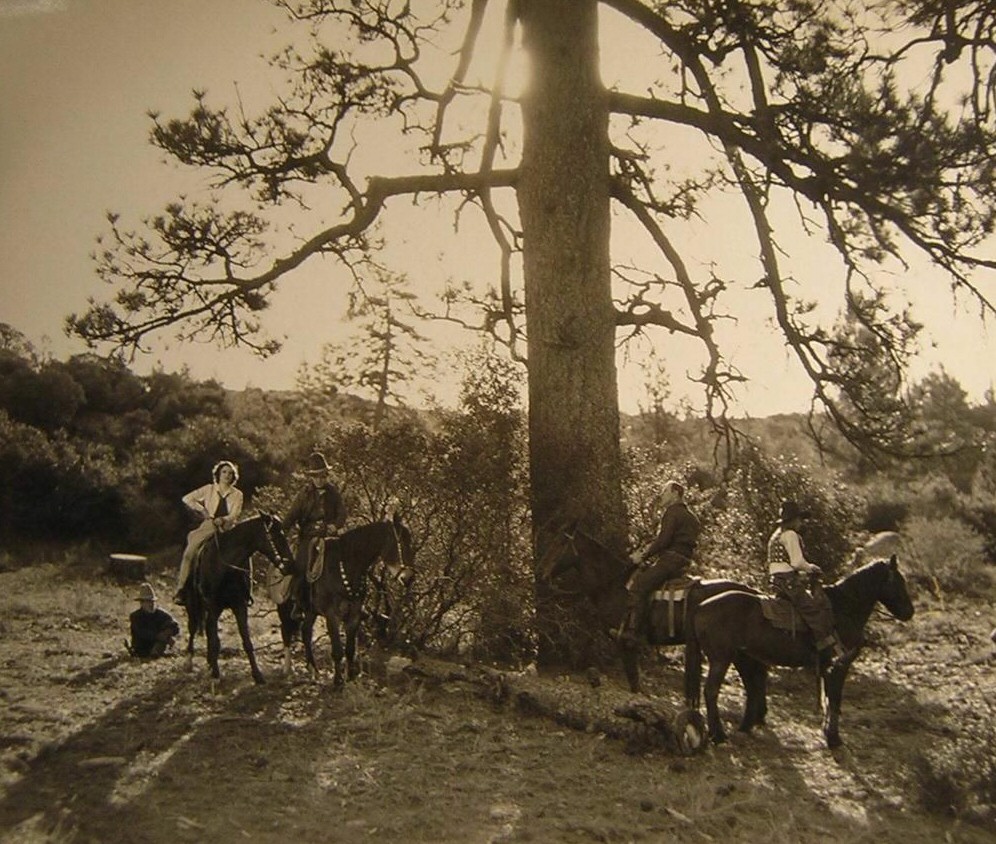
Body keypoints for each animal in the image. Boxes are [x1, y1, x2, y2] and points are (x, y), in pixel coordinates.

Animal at [184, 516, 294, 684]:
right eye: (275, 536)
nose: (290, 565)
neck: (225, 567)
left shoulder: (239, 606)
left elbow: (246, 641)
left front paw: (257, 675)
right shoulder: (214, 606)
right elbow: (214, 640)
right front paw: (216, 674)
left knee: (208, 630)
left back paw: (210, 662)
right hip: (193, 604)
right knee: (193, 627)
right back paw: (190, 662)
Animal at [280, 512, 416, 688]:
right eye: (401, 543)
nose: (410, 578)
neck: (347, 567)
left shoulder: (354, 615)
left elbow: (350, 650)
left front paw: (350, 678)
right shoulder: (332, 616)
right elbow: (338, 650)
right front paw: (338, 681)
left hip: (311, 611)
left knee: (306, 632)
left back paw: (313, 671)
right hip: (286, 608)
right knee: (286, 631)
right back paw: (288, 670)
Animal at [536, 524, 764, 696]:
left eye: (560, 543)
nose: (541, 573)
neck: (613, 585)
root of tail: (753, 592)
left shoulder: (625, 643)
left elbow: (633, 681)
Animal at [684, 556, 912, 748]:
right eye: (899, 581)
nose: (909, 612)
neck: (843, 609)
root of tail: (701, 606)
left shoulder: (827, 667)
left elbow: (828, 698)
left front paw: (828, 733)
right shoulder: (840, 664)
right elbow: (835, 699)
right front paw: (834, 739)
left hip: (740, 657)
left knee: (747, 687)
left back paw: (740, 728)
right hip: (721, 659)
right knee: (711, 691)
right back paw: (719, 735)